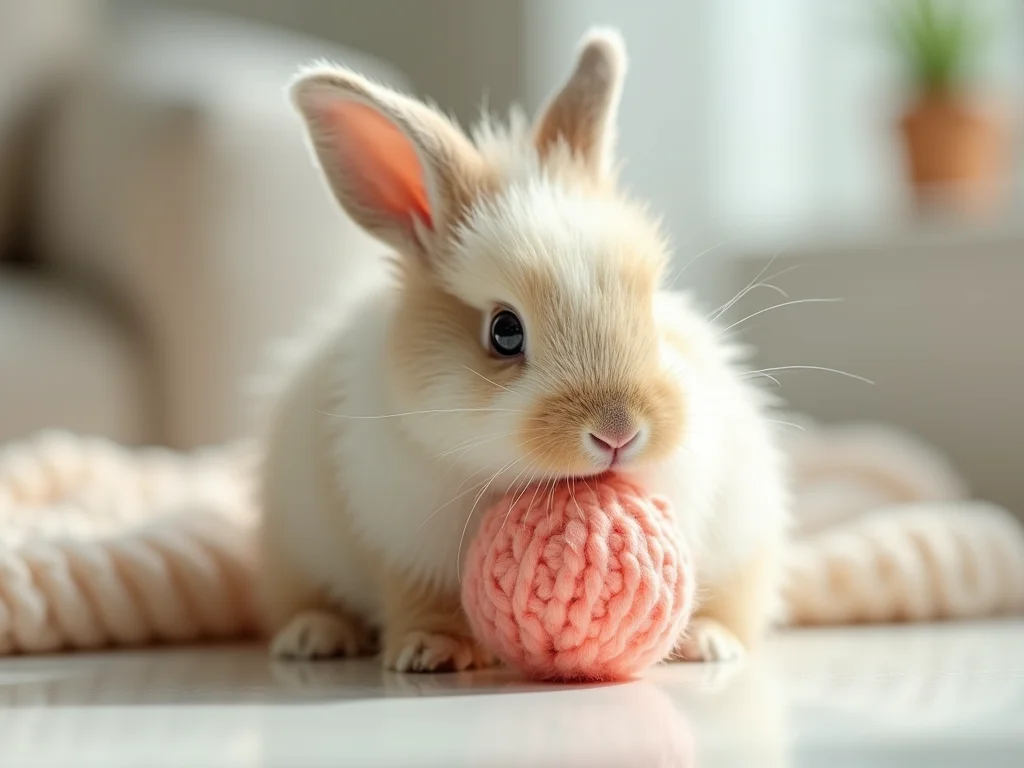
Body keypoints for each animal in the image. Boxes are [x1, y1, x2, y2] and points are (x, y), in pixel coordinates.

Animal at [259, 27, 789, 672]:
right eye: (504, 332)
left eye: (651, 304)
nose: (619, 432)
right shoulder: (403, 539)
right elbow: (422, 600)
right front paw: (428, 653)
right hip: (291, 547)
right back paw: (311, 637)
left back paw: (712, 644)